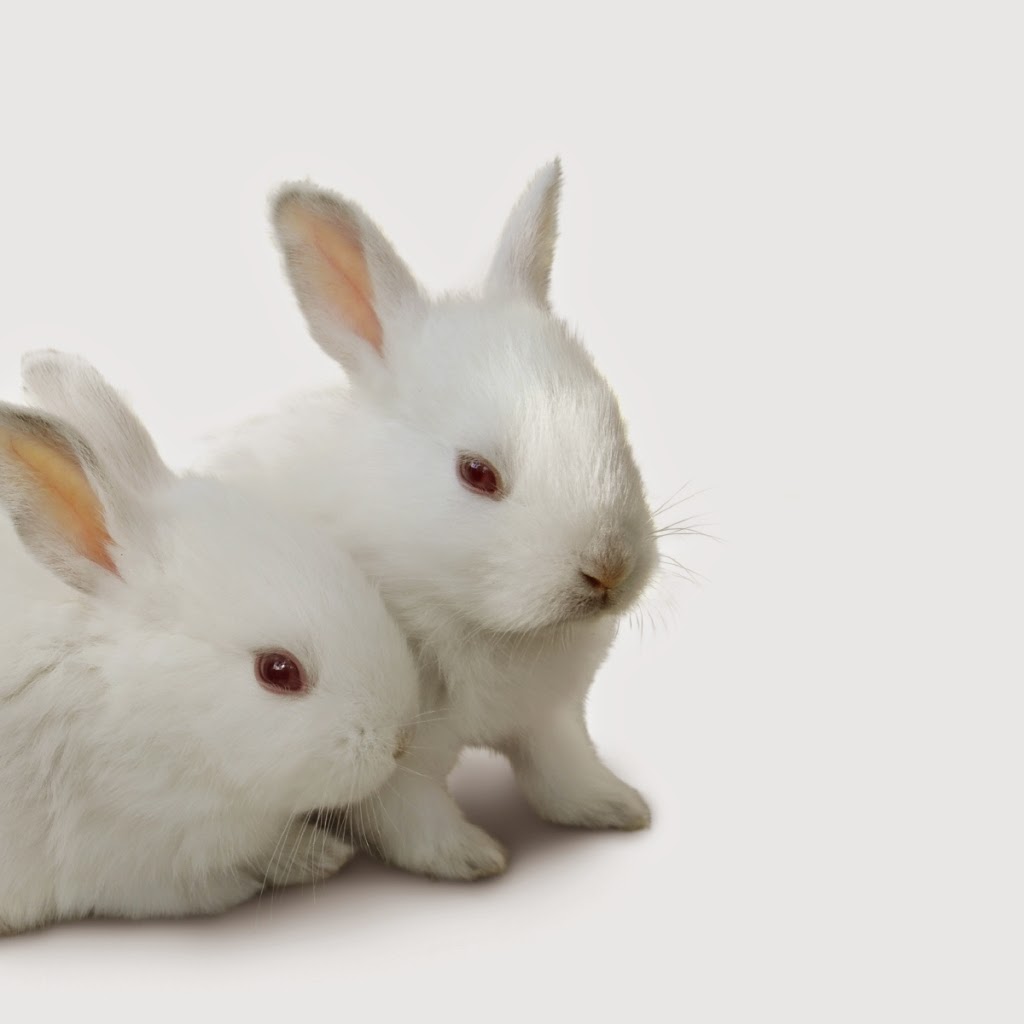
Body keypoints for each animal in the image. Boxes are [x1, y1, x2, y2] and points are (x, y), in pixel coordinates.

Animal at [206, 162, 660, 881]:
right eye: (477, 473)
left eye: (613, 422)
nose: (608, 570)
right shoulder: (394, 758)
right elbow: (412, 816)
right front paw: (472, 859)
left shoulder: (551, 717)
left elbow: (562, 771)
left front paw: (616, 808)